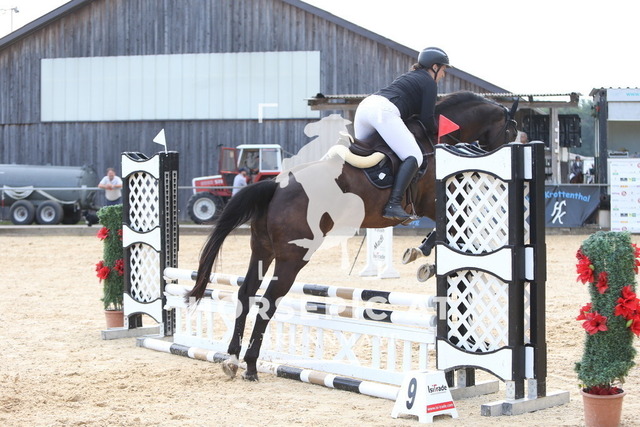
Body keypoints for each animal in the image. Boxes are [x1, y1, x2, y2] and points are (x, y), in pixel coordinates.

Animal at [187, 91, 519, 381]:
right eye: (511, 132)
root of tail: (275, 186)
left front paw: (424, 258)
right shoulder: (432, 201)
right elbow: (443, 229)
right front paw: (424, 258)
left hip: (262, 250)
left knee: (246, 293)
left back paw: (231, 359)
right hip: (293, 258)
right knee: (268, 301)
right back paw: (251, 366)